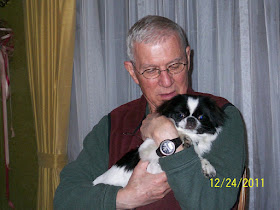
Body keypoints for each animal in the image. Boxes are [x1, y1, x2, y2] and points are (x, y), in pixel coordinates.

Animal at [93, 94, 226, 187]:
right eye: (180, 115)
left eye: (202, 117)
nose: (191, 119)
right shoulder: (145, 152)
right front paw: (183, 137)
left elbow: (199, 157)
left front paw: (207, 166)